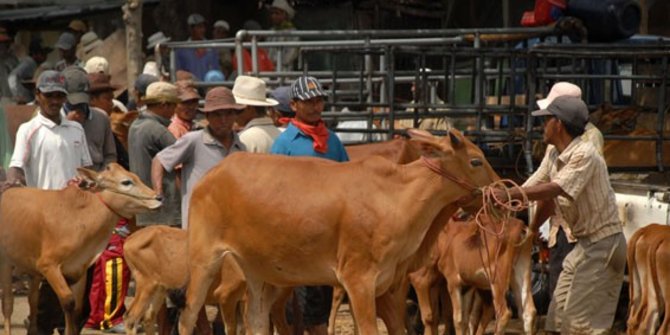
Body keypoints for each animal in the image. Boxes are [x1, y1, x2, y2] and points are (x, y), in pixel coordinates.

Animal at [0, 164, 161, 335]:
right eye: (126, 182)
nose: (158, 198)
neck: (80, 218)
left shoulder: (78, 270)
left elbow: (76, 310)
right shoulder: (48, 266)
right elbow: (68, 302)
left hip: (33, 271)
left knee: (33, 300)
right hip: (6, 263)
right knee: (8, 303)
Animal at [177, 129, 498, 335]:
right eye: (476, 160)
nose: (503, 189)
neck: (396, 196)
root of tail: (212, 174)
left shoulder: (385, 286)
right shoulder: (359, 281)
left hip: (259, 274)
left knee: (255, 321)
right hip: (204, 260)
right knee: (188, 316)